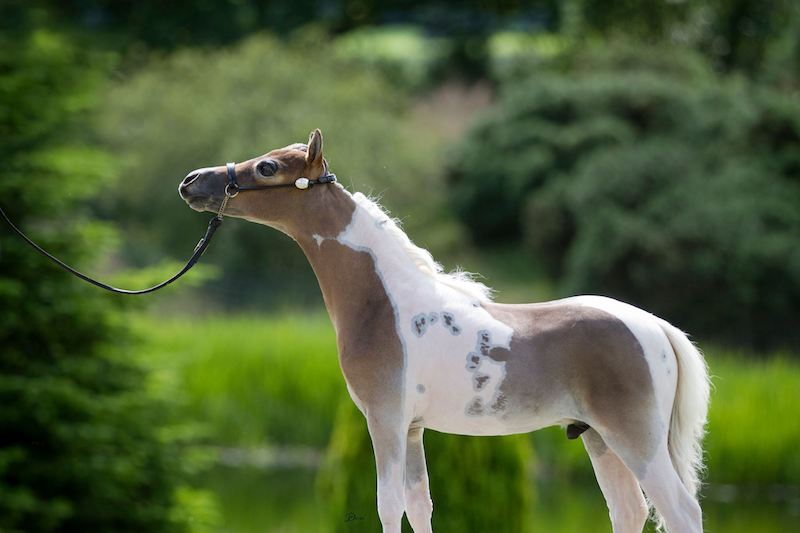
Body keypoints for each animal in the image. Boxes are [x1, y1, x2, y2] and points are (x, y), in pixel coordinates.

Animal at [178, 129, 710, 533]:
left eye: (267, 167)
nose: (191, 181)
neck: (384, 302)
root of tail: (657, 328)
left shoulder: (386, 421)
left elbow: (388, 506)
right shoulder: (413, 429)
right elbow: (419, 507)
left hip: (635, 439)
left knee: (681, 511)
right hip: (599, 438)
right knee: (630, 511)